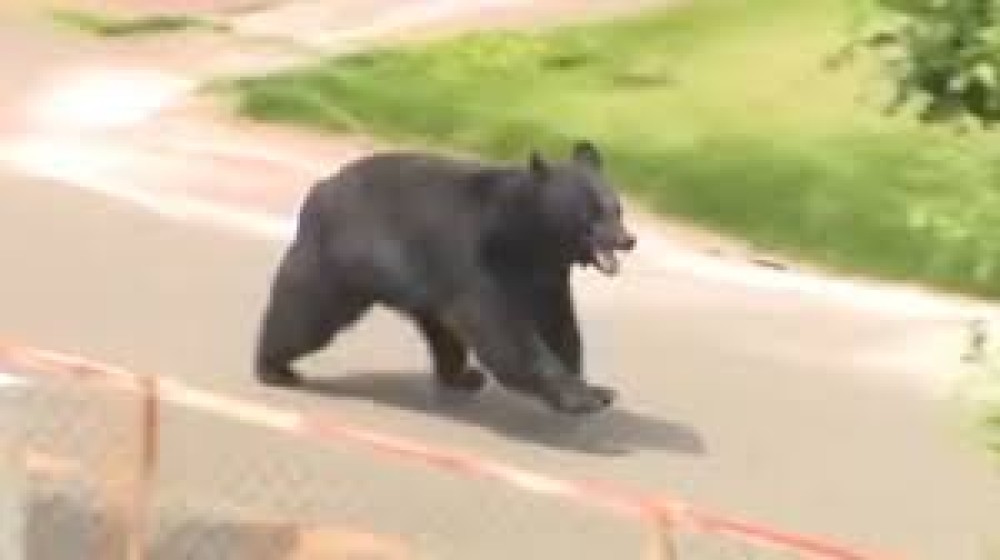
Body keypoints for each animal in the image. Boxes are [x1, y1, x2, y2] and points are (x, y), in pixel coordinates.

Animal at [254, 140, 636, 414]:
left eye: (617, 208)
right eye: (592, 212)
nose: (627, 240)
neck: (530, 236)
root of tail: (320, 187)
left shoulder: (547, 277)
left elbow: (558, 325)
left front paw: (596, 389)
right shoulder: (480, 261)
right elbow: (506, 331)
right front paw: (579, 398)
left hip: (423, 286)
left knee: (444, 335)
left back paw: (463, 377)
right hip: (337, 263)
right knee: (304, 314)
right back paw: (273, 368)